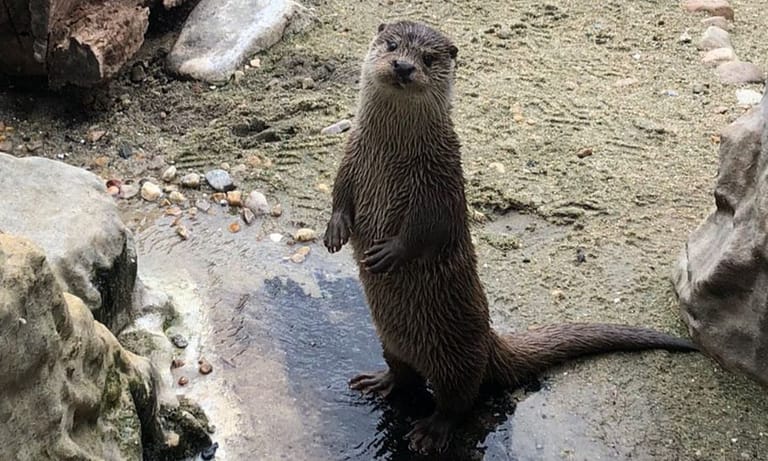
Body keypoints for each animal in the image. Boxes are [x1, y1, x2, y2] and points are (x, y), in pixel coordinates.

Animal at [320, 20, 700, 452]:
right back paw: (378, 381)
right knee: (404, 374)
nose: (403, 66)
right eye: (392, 44)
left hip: (457, 354)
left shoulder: (440, 180)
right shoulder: (351, 155)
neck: (389, 153)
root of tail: (491, 342)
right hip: (390, 341)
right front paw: (334, 232)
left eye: (429, 59)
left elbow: (429, 228)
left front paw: (391, 253)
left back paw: (432, 431)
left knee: (458, 398)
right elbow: (338, 194)